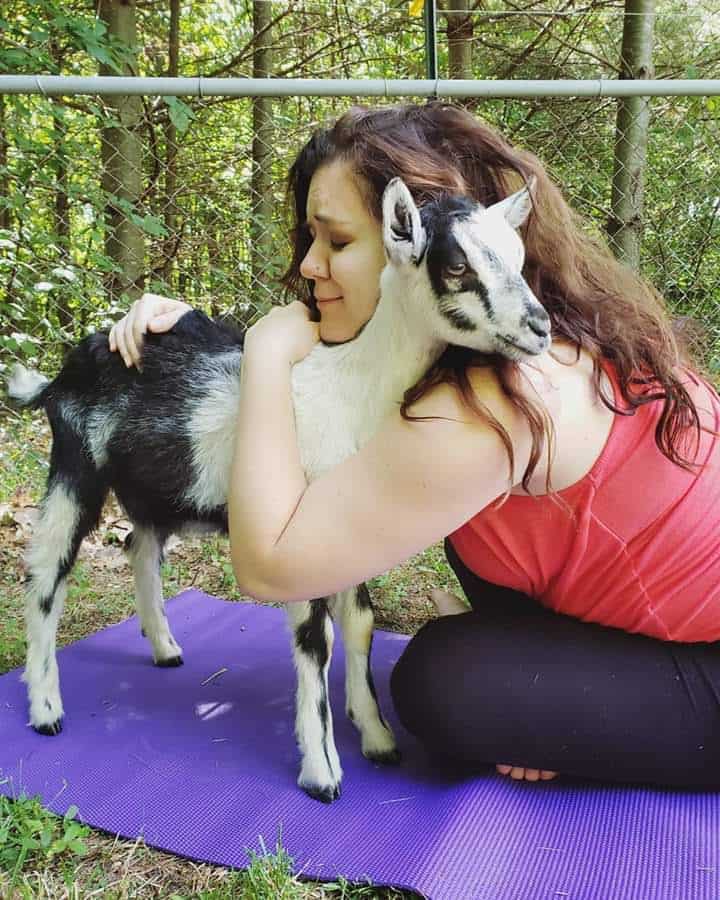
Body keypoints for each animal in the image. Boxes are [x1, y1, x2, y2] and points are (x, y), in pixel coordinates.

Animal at [7, 176, 552, 800]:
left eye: (518, 257)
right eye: (457, 265)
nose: (541, 328)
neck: (349, 388)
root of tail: (63, 371)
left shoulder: (341, 528)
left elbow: (359, 622)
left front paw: (377, 737)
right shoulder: (292, 533)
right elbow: (317, 639)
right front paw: (322, 772)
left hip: (157, 485)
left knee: (139, 546)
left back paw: (165, 649)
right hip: (76, 464)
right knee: (46, 573)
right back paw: (46, 708)